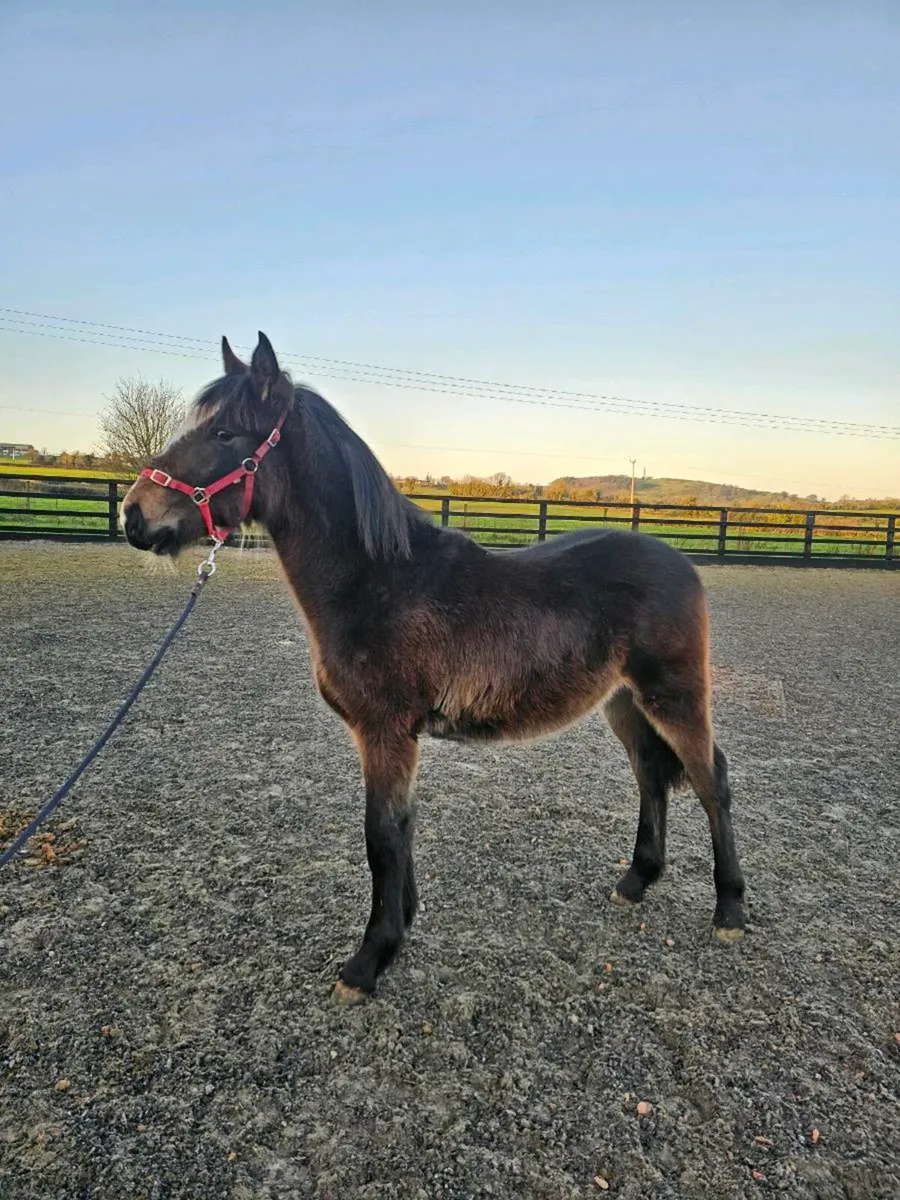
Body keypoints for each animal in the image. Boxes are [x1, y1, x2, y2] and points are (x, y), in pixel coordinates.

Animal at [122, 332, 747, 1003]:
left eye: (226, 434)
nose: (134, 515)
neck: (380, 581)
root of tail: (678, 560)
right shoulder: (396, 737)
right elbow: (402, 828)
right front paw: (400, 924)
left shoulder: (385, 731)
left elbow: (381, 835)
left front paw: (368, 960)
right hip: (623, 703)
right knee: (651, 776)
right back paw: (637, 880)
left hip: (674, 695)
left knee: (710, 779)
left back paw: (730, 911)